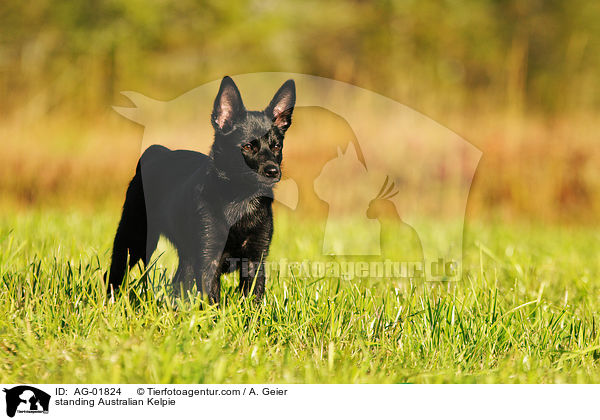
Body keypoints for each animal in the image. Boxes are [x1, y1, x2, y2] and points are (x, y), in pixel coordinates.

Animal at [109, 77, 296, 304]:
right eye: (247, 146)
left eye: (277, 146)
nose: (273, 171)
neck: (240, 200)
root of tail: (154, 152)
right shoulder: (209, 259)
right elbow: (212, 299)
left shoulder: (255, 258)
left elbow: (253, 297)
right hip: (133, 239)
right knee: (114, 274)